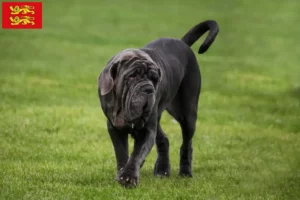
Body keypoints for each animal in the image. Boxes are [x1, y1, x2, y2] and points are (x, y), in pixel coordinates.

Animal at [98, 19, 218, 188]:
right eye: (131, 77)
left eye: (154, 79)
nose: (148, 89)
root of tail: (182, 42)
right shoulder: (114, 127)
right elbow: (121, 153)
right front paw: (122, 173)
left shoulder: (147, 129)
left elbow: (137, 154)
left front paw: (128, 177)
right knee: (163, 139)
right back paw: (162, 170)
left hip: (186, 113)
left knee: (186, 144)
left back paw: (185, 172)